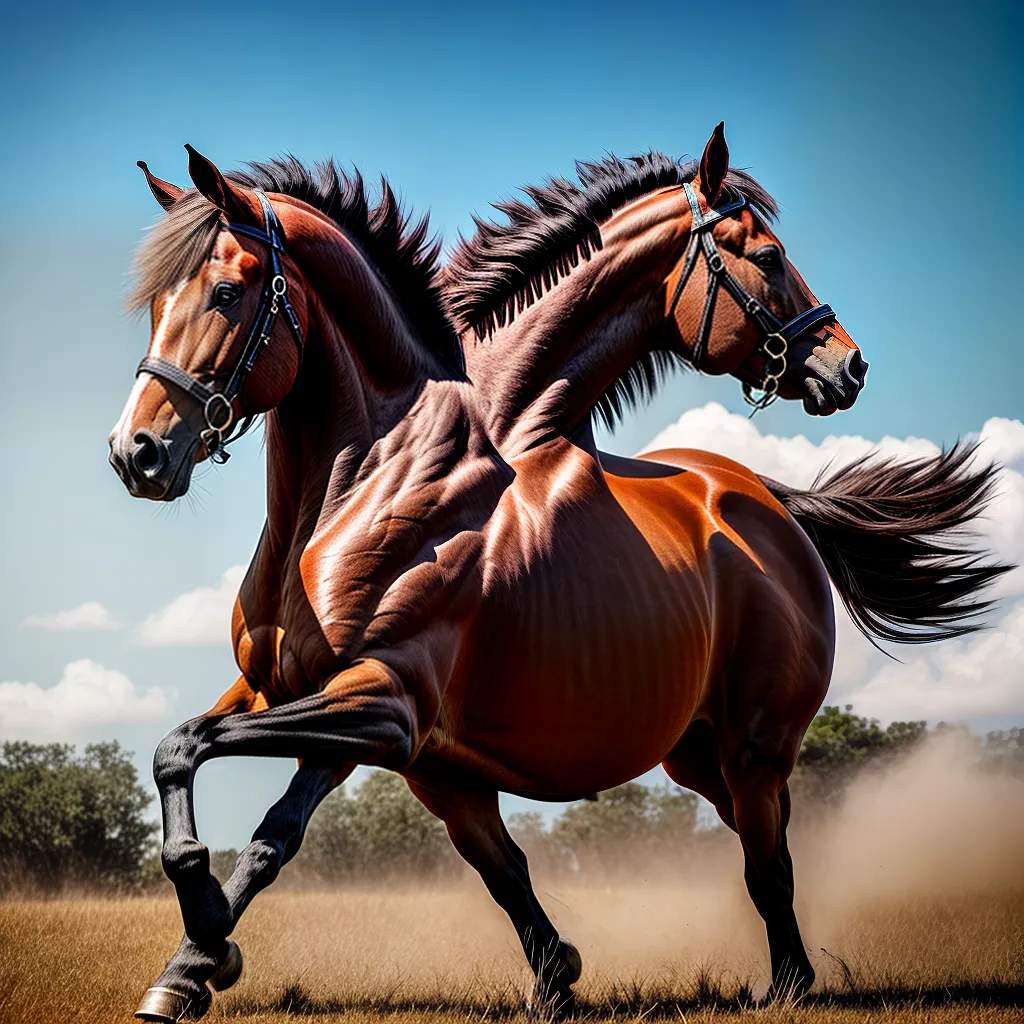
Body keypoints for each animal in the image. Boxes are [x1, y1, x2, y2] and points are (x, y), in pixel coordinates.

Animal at [111, 143, 1007, 1023]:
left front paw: (206, 947)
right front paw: (193, 963)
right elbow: (211, 777)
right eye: (159, 302)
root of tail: (767, 499)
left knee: (767, 865)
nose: (137, 453)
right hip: (688, 754)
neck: (375, 483)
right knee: (723, 849)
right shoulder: (304, 701)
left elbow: (235, 797)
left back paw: (785, 985)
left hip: (755, 745)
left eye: (228, 291)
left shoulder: (382, 707)